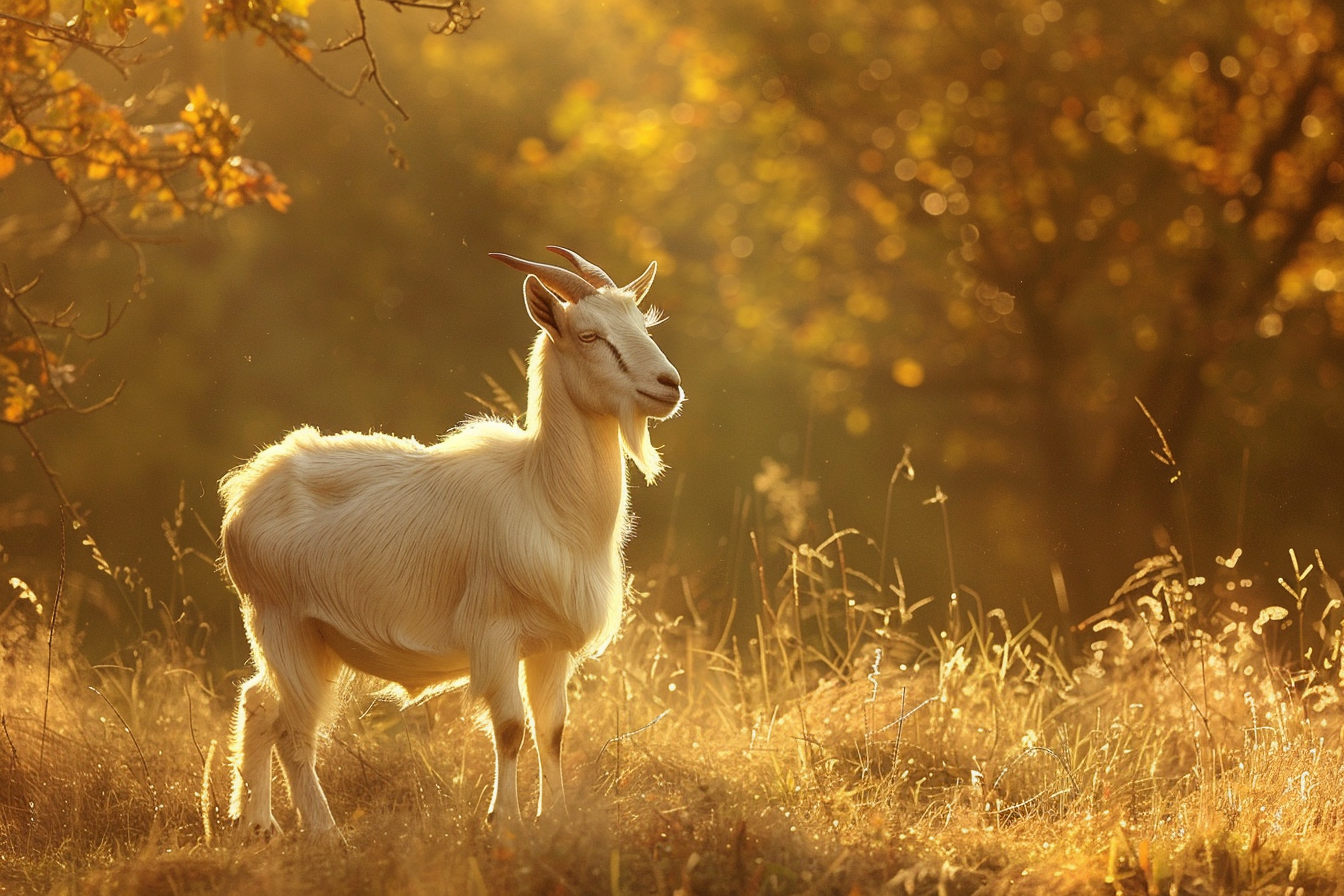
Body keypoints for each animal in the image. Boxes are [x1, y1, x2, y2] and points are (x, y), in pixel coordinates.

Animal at [219, 247, 682, 835]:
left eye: (642, 324)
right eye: (589, 335)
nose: (669, 385)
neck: (544, 496)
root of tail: (246, 490)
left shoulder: (550, 645)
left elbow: (552, 730)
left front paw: (554, 818)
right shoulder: (495, 634)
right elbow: (511, 728)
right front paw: (503, 818)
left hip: (308, 638)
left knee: (258, 702)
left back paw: (256, 825)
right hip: (284, 623)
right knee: (293, 728)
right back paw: (324, 832)